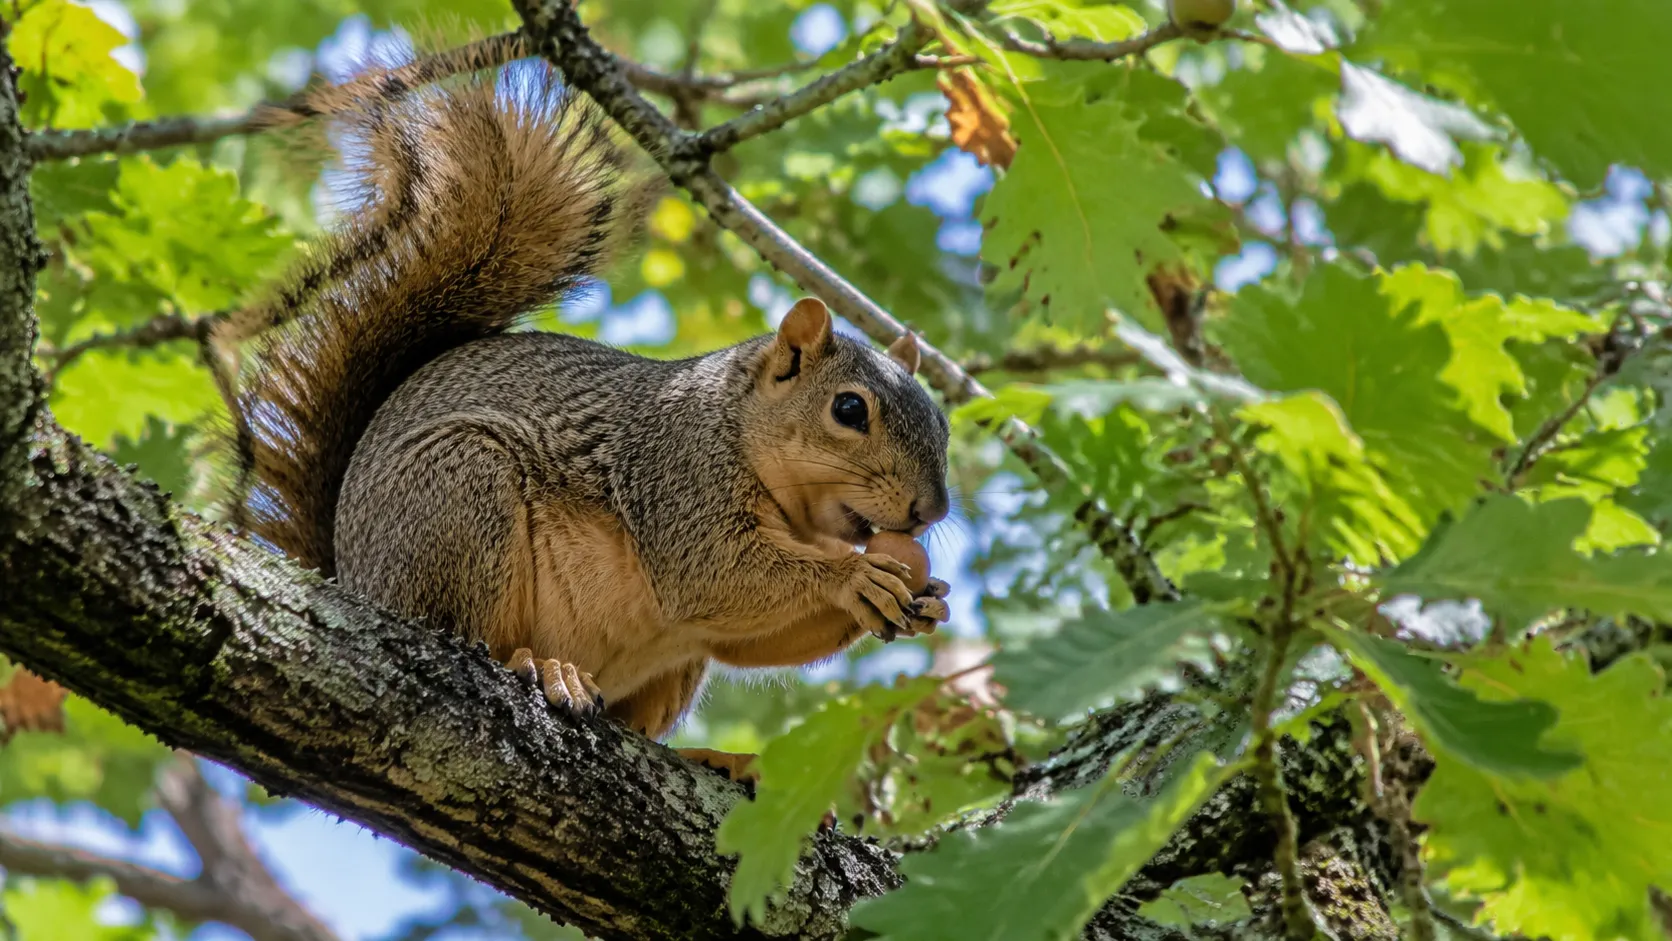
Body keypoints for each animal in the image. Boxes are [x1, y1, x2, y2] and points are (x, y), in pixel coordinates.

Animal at [222, 53, 953, 781]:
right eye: (849, 408)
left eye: (943, 425)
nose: (930, 511)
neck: (737, 429)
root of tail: (352, 578)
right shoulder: (675, 479)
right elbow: (713, 575)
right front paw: (854, 575)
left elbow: (747, 637)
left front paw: (924, 599)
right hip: (458, 499)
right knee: (467, 636)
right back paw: (542, 667)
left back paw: (703, 754)